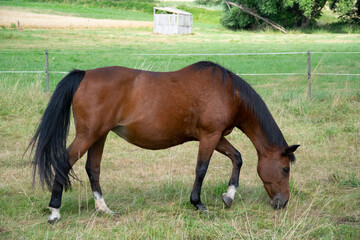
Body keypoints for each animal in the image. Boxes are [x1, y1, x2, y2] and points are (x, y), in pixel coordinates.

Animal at [27, 60, 298, 223]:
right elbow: (201, 168)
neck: (228, 92)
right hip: (88, 135)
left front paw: (229, 196)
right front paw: (198, 204)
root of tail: (84, 75)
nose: (283, 203)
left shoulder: (216, 136)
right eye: (285, 169)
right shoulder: (209, 136)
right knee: (64, 162)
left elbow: (237, 158)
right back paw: (54, 210)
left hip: (99, 136)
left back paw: (103, 209)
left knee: (93, 169)